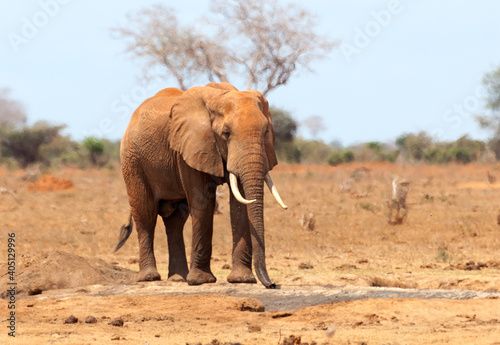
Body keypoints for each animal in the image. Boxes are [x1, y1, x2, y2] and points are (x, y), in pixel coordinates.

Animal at [113, 81, 286, 288]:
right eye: (226, 133)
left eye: (266, 131)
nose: (272, 284)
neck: (219, 95)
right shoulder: (189, 147)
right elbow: (202, 203)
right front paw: (201, 281)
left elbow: (240, 204)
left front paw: (241, 280)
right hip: (132, 159)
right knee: (145, 213)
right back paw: (150, 277)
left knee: (175, 220)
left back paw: (178, 278)